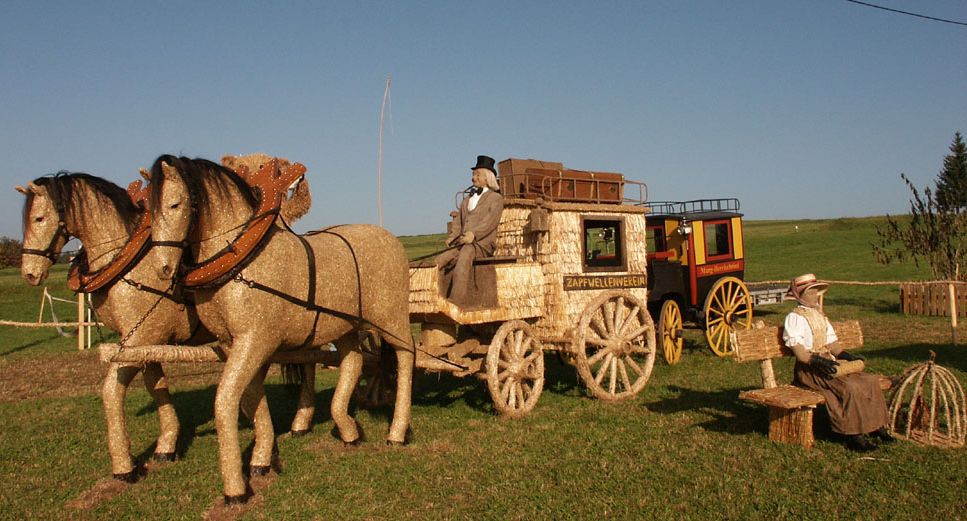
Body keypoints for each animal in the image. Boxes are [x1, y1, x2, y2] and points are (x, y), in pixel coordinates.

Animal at [16, 170, 316, 484]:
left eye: (38, 218)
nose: (29, 273)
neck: (127, 259)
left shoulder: (141, 335)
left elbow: (112, 390)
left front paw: (125, 466)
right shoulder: (145, 340)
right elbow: (156, 385)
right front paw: (167, 445)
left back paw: (298, 422)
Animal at [146, 155, 414, 503]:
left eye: (175, 204)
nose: (163, 268)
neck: (241, 260)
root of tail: (390, 238)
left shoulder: (254, 339)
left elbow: (226, 400)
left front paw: (235, 487)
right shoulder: (236, 343)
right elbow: (251, 398)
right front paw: (262, 459)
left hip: (392, 320)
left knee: (406, 358)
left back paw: (397, 432)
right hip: (345, 326)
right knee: (353, 362)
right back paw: (349, 431)